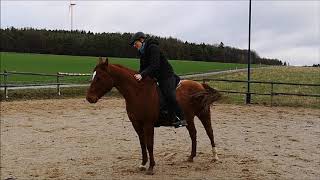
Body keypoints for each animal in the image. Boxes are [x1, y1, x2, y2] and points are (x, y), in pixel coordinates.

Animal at [87, 57, 222, 174]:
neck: (138, 92)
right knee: (193, 134)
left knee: (210, 132)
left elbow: (149, 144)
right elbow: (142, 143)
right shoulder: (136, 124)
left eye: (99, 77)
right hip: (188, 118)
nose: (89, 98)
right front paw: (143, 164)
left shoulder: (148, 124)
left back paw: (215, 156)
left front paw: (151, 167)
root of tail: (200, 85)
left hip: (203, 114)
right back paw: (191, 157)